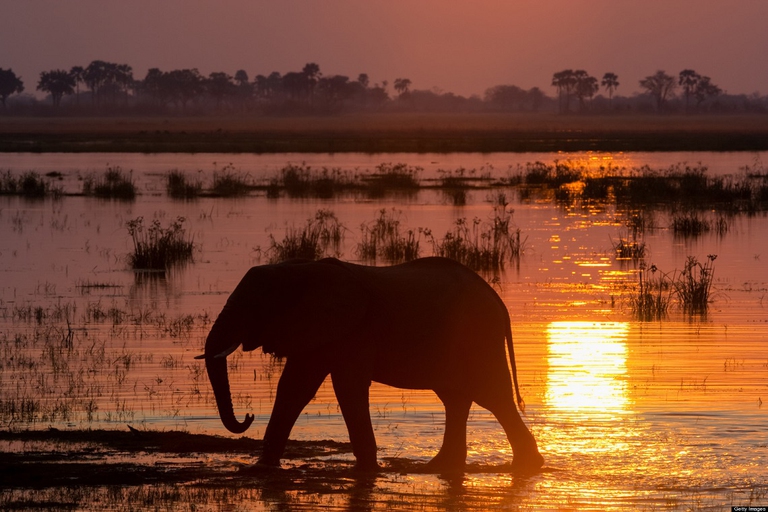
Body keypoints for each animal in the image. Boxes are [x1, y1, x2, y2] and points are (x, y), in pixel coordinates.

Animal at [196, 257, 543, 472]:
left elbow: (347, 387)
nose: (249, 415)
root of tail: (496, 298)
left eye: (252, 305)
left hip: (478, 337)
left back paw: (527, 466)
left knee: (493, 397)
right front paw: (261, 468)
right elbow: (294, 387)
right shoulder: (317, 329)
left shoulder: (355, 330)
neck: (304, 268)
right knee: (456, 399)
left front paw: (368, 471)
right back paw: (440, 467)